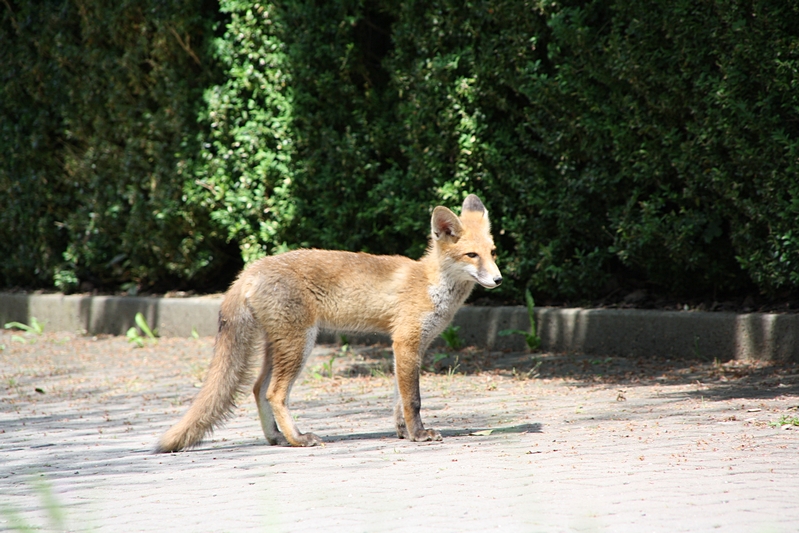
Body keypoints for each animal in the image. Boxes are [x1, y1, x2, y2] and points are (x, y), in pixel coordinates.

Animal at [155, 194, 501, 452]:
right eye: (472, 255)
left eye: (493, 252)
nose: (499, 280)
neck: (430, 283)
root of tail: (250, 270)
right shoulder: (406, 342)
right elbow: (413, 400)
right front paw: (419, 435)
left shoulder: (409, 348)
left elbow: (399, 401)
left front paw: (404, 433)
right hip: (301, 343)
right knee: (274, 393)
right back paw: (298, 439)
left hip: (279, 345)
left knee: (257, 389)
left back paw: (276, 437)